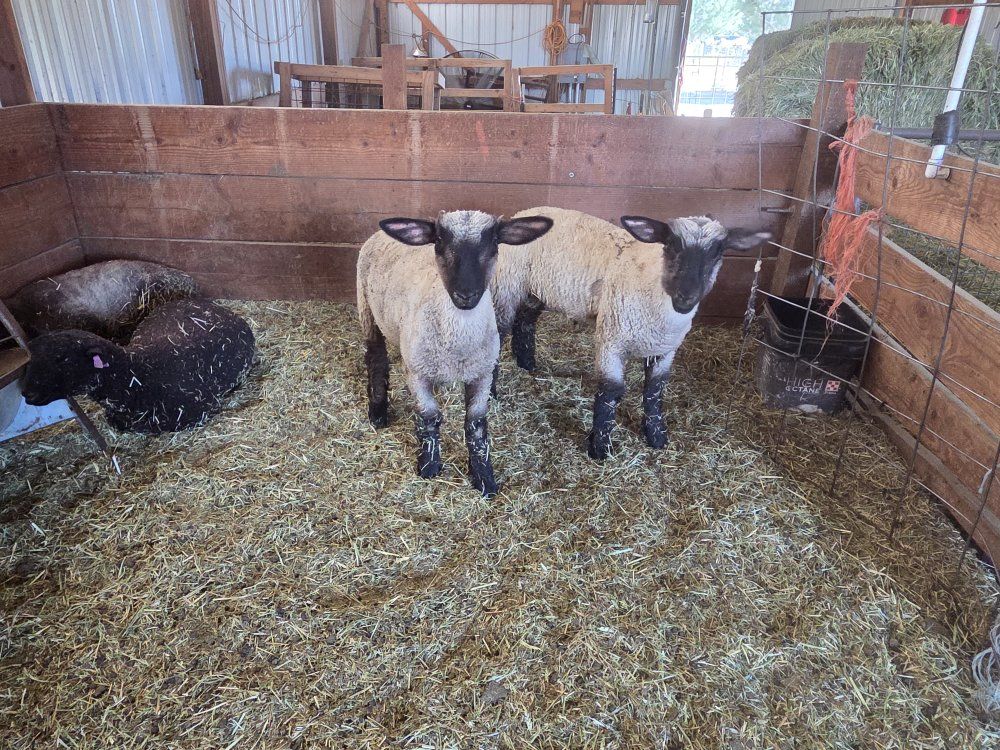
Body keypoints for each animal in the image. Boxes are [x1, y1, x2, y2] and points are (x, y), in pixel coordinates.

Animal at [358, 210, 553, 496]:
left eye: (494, 242)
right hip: (367, 310)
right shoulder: (417, 373)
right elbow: (429, 418)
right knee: (376, 359)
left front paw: (483, 476)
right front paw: (429, 465)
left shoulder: (482, 374)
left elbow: (475, 425)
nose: (465, 295)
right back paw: (378, 411)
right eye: (439, 240)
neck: (457, 344)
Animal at [491, 206, 771, 459]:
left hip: (535, 291)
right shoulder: (610, 341)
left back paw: (527, 363)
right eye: (671, 245)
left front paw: (656, 436)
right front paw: (600, 448)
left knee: (525, 322)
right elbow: (610, 391)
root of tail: (520, 214)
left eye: (718, 252)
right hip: (506, 287)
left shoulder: (665, 351)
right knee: (500, 335)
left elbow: (655, 391)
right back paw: (493, 393)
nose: (686, 296)